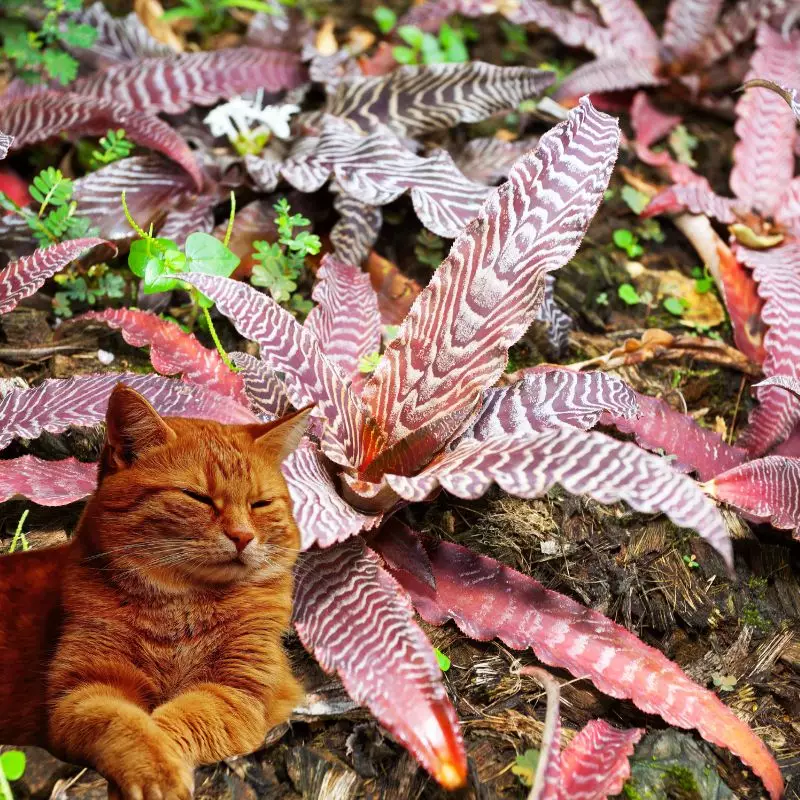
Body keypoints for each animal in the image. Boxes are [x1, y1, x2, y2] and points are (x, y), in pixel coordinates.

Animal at [0, 384, 312, 796]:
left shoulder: (239, 692)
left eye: (260, 504)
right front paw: (156, 772)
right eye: (197, 497)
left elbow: (179, 719)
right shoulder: (83, 691)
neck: (182, 605)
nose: (243, 536)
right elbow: (130, 725)